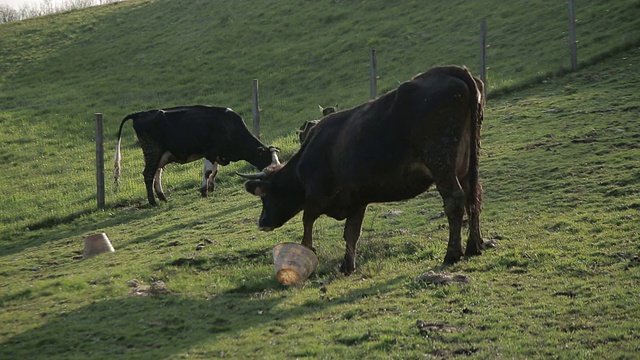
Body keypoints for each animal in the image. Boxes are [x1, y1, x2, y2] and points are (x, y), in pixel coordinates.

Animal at [238, 66, 492, 274]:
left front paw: (307, 254)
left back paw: (452, 254)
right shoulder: (357, 200)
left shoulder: (315, 198)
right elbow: (351, 233)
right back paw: (474, 245)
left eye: (265, 195)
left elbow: (307, 224)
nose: (262, 222)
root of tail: (453, 71)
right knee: (474, 196)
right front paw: (347, 265)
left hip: (441, 160)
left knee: (455, 199)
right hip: (467, 164)